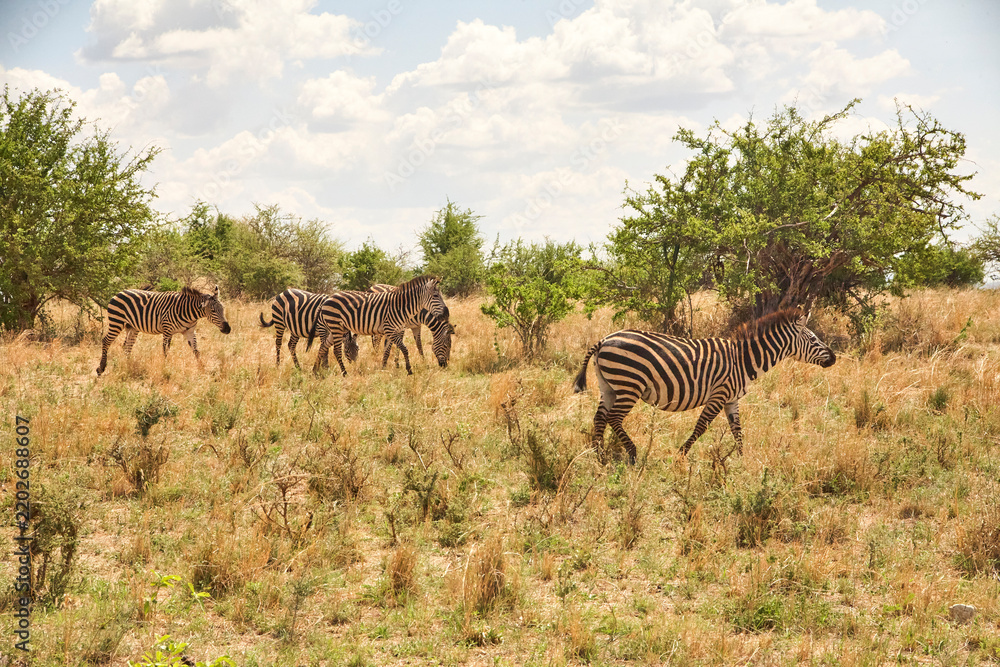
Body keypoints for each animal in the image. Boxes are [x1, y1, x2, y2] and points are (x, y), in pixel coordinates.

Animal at [96, 285, 232, 376]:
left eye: (223, 308)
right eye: (213, 311)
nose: (228, 329)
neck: (189, 313)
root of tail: (120, 291)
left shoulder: (189, 331)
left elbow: (196, 351)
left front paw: (202, 369)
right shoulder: (167, 331)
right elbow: (166, 351)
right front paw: (165, 369)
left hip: (133, 327)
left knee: (127, 346)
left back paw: (128, 365)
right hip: (116, 321)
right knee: (106, 341)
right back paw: (101, 368)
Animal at [309, 275, 443, 376]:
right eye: (436, 296)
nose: (444, 366)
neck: (401, 307)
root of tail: (327, 299)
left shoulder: (398, 329)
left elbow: (389, 350)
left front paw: (384, 368)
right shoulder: (391, 329)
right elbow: (404, 348)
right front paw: (409, 369)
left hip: (336, 328)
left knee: (323, 346)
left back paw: (315, 370)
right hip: (335, 326)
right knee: (336, 351)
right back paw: (344, 373)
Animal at [573, 308, 836, 463]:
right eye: (814, 339)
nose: (834, 358)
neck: (743, 360)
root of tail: (604, 339)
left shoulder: (731, 399)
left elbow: (737, 430)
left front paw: (742, 460)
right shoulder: (719, 394)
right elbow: (701, 426)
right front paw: (681, 455)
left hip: (609, 386)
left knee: (600, 417)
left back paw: (598, 455)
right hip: (629, 385)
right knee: (613, 418)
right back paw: (632, 453)